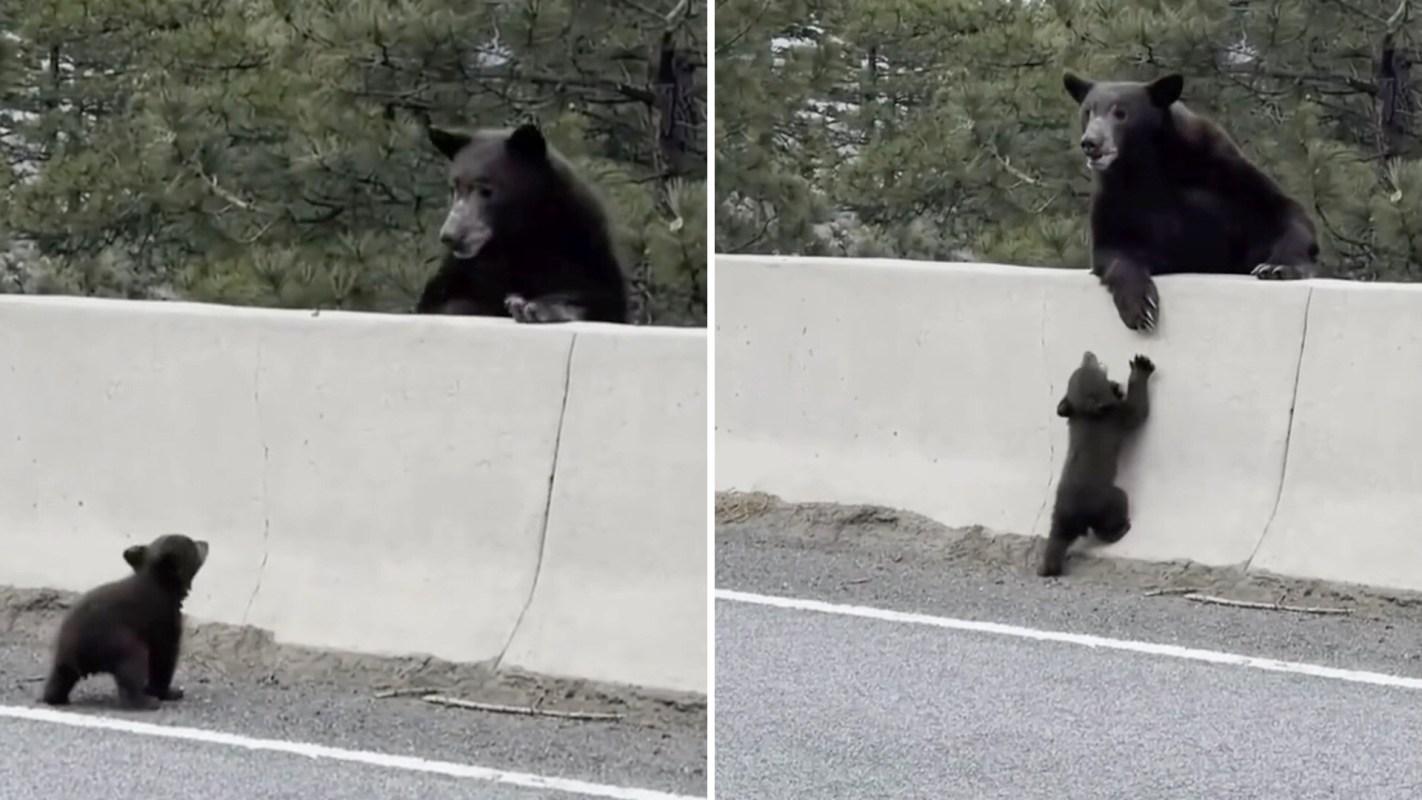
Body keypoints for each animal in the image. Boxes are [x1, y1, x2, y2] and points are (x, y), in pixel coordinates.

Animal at [42, 533, 210, 710]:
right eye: (192, 544)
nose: (205, 542)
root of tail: (76, 652)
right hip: (118, 642)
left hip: (64, 657)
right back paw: (146, 702)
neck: (160, 582)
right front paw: (170, 692)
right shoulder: (164, 617)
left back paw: (55, 697)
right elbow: (164, 655)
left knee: (60, 677)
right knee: (134, 666)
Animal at [413, 123, 631, 325]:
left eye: (486, 190)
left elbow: (601, 298)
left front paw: (536, 307)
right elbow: (441, 302)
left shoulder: (583, 246)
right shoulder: (465, 270)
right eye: (454, 188)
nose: (450, 235)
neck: (520, 236)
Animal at [1038, 352, 1154, 578]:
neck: (1086, 413)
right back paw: (1122, 529)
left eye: (1082, 364)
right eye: (1093, 367)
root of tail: (1070, 517)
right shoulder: (1117, 416)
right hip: (1108, 499)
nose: (1088, 353)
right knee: (1108, 522)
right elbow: (1138, 412)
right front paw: (1141, 366)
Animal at [1063, 71, 1320, 332]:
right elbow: (1112, 249)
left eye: (1121, 113)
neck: (1144, 162)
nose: (1091, 142)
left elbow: (1282, 209)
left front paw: (1277, 266)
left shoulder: (1218, 162)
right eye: (1088, 111)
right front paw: (1141, 307)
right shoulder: (1113, 192)